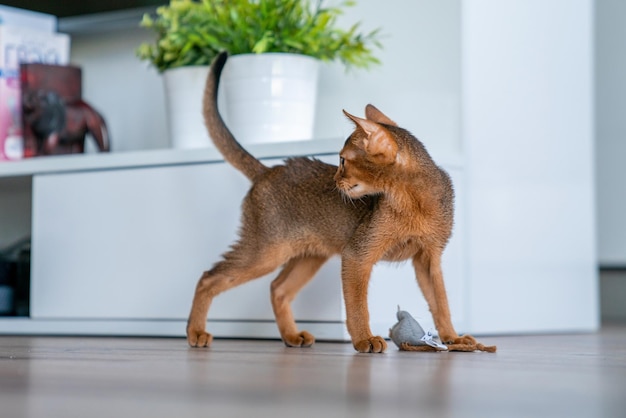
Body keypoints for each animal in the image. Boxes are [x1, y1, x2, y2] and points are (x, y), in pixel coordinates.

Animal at [184, 52, 472, 352]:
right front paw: (364, 339)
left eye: (343, 161)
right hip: (266, 250)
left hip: (308, 255)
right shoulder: (357, 255)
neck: (414, 201)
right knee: (208, 277)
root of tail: (268, 170)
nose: (335, 179)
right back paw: (195, 331)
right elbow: (358, 305)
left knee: (278, 288)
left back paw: (291, 336)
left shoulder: (429, 259)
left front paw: (453, 338)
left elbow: (441, 302)